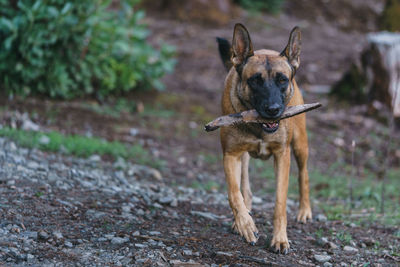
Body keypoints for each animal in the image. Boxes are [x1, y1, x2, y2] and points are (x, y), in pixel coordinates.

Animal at [216, 24, 312, 254]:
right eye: (255, 80)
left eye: (282, 80)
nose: (273, 110)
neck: (258, 126)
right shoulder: (230, 155)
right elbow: (234, 193)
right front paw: (245, 224)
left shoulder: (282, 156)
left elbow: (280, 202)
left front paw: (280, 239)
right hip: (243, 156)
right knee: (245, 189)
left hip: (300, 145)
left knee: (303, 174)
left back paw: (304, 210)